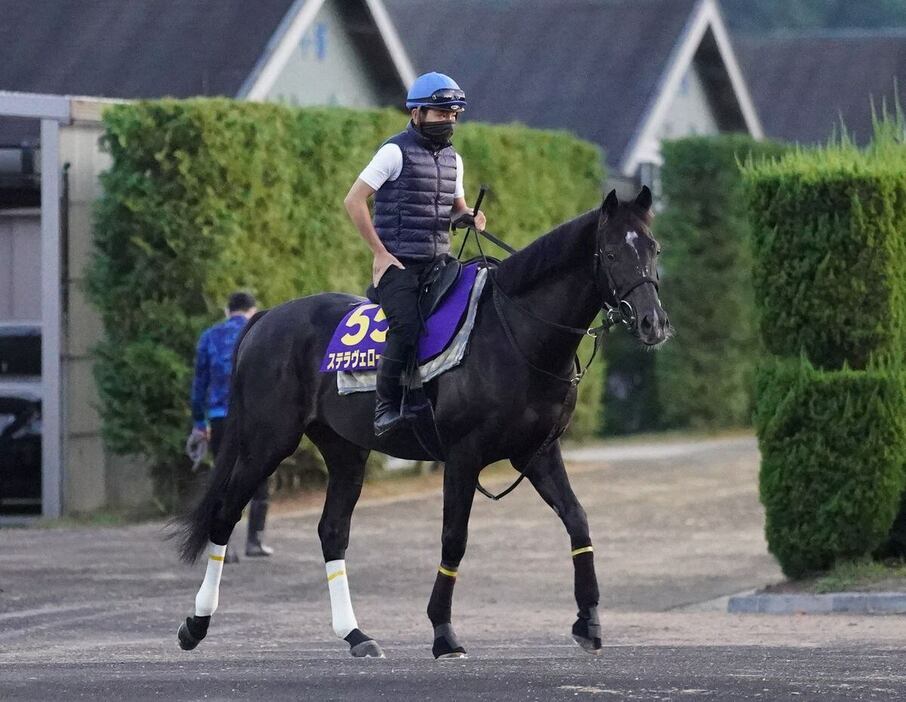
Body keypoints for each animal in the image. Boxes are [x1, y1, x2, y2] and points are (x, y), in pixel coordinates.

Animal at [178, 187, 672, 660]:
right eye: (611, 253)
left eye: (654, 248)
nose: (653, 322)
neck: (513, 332)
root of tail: (266, 319)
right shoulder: (463, 457)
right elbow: (454, 539)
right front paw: (443, 633)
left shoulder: (536, 453)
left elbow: (577, 520)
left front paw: (588, 622)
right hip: (266, 443)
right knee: (225, 515)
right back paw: (195, 624)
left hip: (345, 450)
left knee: (332, 532)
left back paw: (356, 635)